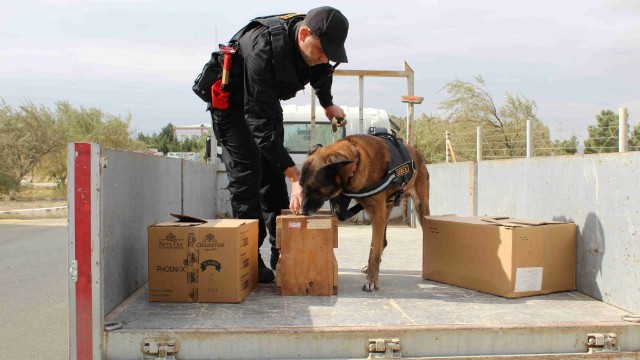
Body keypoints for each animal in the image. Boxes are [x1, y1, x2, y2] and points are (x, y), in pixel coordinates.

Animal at [300, 134, 430, 292]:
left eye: (313, 188)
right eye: (301, 185)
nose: (302, 212)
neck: (357, 160)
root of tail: (418, 154)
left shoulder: (377, 215)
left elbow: (373, 251)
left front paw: (371, 280)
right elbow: (375, 248)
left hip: (420, 207)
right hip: (386, 210)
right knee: (383, 242)